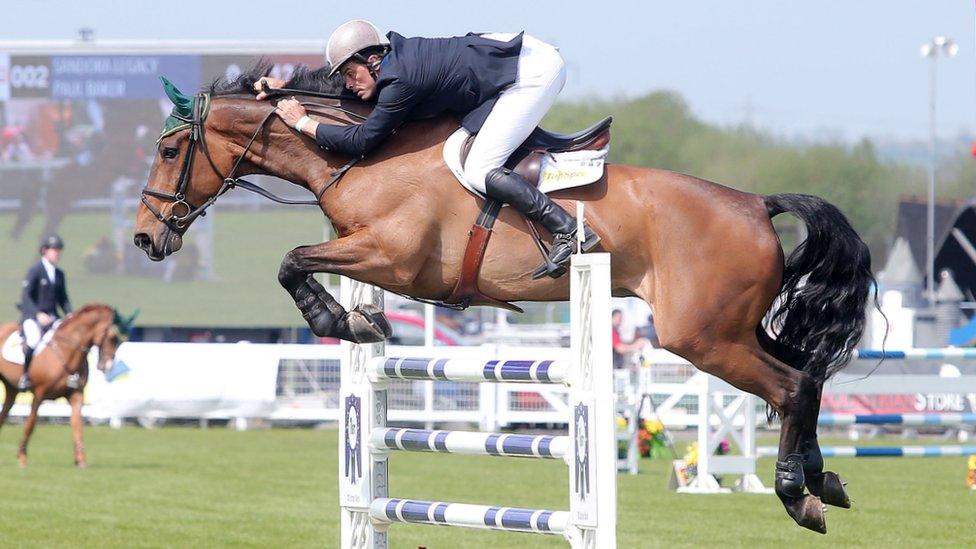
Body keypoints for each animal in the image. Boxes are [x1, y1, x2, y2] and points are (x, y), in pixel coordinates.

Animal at [0, 306, 131, 464]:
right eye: (112, 337)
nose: (108, 366)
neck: (66, 350)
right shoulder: (39, 394)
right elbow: (31, 423)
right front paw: (22, 457)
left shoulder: (76, 395)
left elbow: (77, 424)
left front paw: (81, 459)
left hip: (11, 388)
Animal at [133, 64, 872, 532]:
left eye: (170, 151)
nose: (144, 237)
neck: (361, 156)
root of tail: (754, 203)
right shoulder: (371, 255)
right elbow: (303, 265)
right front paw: (360, 318)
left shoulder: (394, 257)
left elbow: (291, 262)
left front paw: (341, 319)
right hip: (734, 329)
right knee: (806, 374)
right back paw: (823, 480)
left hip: (701, 336)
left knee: (789, 387)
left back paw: (795, 495)